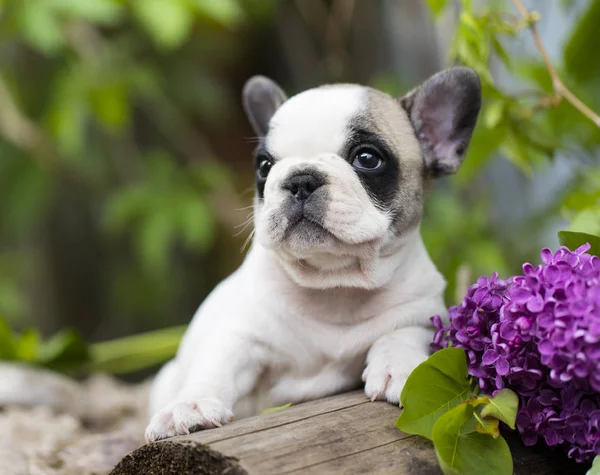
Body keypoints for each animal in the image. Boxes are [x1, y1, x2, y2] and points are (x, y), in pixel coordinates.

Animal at [145, 67, 482, 442]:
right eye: (264, 166)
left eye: (367, 158)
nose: (300, 179)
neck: (334, 285)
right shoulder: (240, 336)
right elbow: (216, 366)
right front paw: (189, 407)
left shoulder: (422, 315)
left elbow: (402, 334)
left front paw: (398, 367)